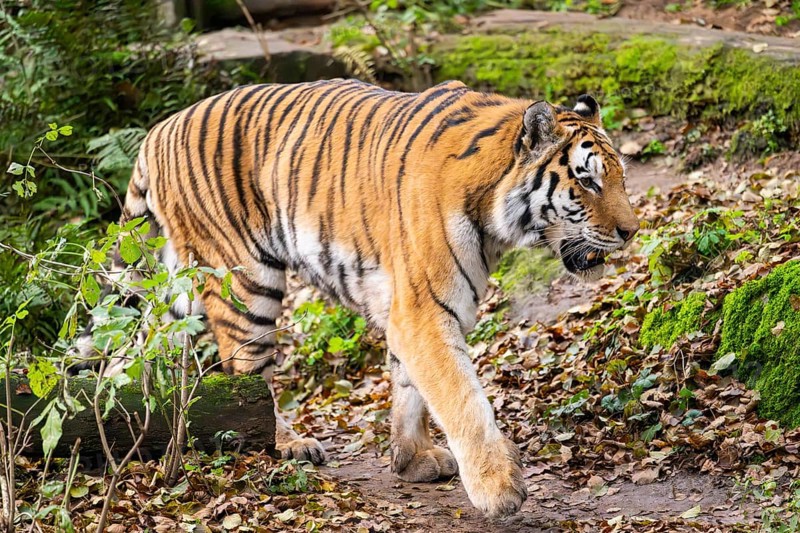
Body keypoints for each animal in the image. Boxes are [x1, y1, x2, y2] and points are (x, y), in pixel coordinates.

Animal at [82, 79, 639, 518]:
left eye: (620, 177)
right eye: (587, 181)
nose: (632, 232)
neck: (497, 218)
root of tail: (157, 130)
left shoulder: (413, 308)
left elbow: (411, 386)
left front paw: (412, 460)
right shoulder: (423, 310)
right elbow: (462, 399)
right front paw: (498, 489)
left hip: (175, 290)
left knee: (127, 356)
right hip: (245, 280)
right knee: (247, 374)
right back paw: (288, 444)